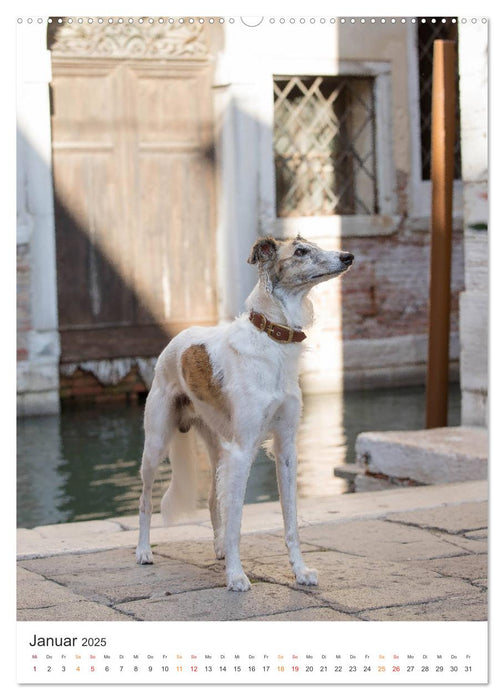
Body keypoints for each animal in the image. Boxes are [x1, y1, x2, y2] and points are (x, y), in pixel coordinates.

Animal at [136, 235, 352, 592]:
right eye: (300, 251)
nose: (348, 256)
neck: (273, 341)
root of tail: (178, 338)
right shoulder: (242, 450)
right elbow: (237, 518)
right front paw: (236, 577)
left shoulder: (286, 448)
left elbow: (290, 521)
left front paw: (300, 571)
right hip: (156, 444)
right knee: (145, 500)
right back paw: (143, 551)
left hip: (216, 447)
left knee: (214, 500)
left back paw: (220, 549)